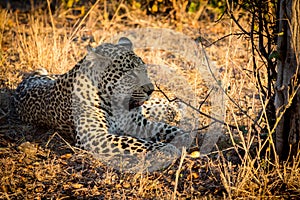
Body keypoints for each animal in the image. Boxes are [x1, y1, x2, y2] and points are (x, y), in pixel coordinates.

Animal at [12, 37, 192, 172]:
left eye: (144, 70)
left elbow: (164, 128)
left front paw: (187, 136)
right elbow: (134, 142)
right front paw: (168, 148)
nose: (151, 89)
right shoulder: (95, 136)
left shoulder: (135, 123)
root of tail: (28, 79)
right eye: (130, 76)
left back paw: (175, 108)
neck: (115, 103)